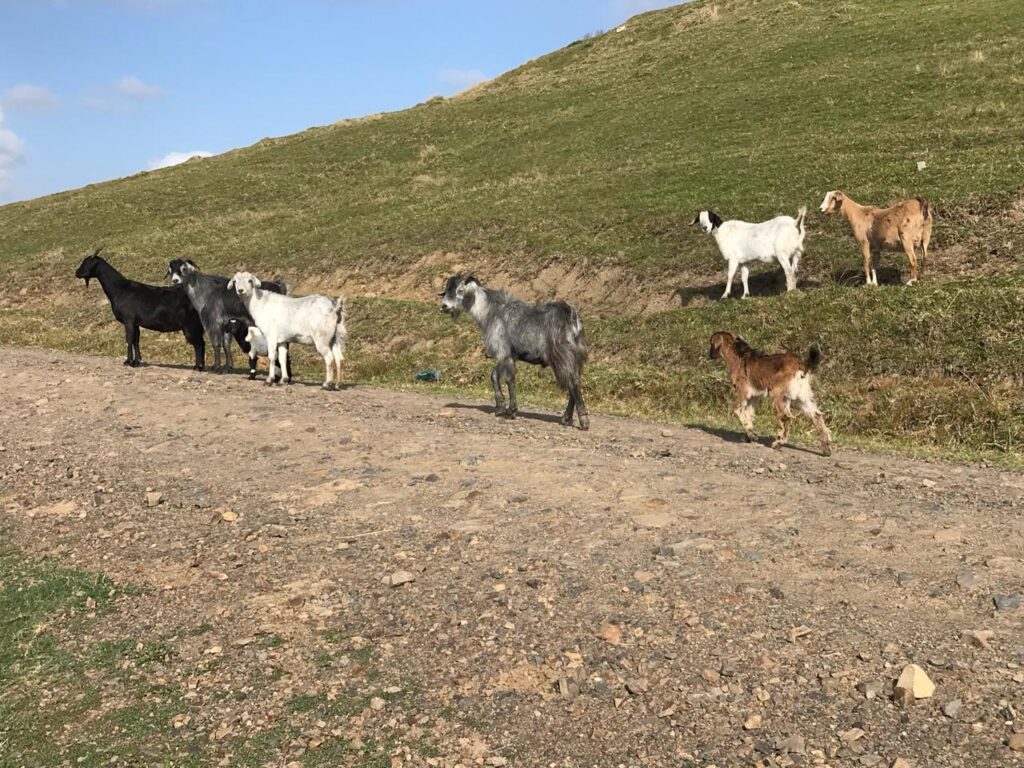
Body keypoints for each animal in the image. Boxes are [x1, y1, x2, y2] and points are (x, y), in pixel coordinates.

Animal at [74, 248, 205, 369]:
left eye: (86, 262)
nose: (76, 273)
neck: (120, 290)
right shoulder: (136, 323)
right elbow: (136, 341)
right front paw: (136, 362)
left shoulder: (128, 320)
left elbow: (129, 340)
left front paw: (128, 361)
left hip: (191, 325)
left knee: (199, 344)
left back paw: (198, 367)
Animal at [440, 274, 590, 430]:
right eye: (446, 290)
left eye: (460, 290)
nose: (444, 306)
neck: (490, 312)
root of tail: (572, 318)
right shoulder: (509, 355)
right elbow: (499, 377)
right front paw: (504, 409)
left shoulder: (502, 352)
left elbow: (505, 378)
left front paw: (508, 410)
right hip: (576, 357)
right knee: (574, 382)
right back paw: (566, 418)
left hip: (563, 356)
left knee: (572, 383)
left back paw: (583, 421)